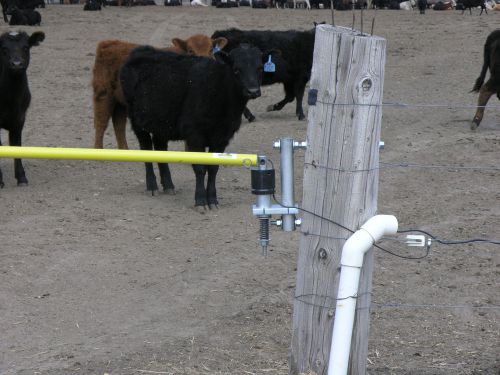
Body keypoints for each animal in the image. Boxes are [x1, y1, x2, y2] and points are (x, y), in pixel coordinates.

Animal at [0, 30, 44, 188]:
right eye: (4, 49)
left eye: (26, 47)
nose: (17, 64)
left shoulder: (19, 119)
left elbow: (17, 145)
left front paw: (21, 177)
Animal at [118, 44, 266, 209]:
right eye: (236, 70)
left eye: (260, 68)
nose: (253, 91)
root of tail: (141, 50)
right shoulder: (195, 136)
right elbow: (200, 168)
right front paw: (200, 200)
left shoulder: (222, 137)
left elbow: (213, 169)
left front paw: (212, 200)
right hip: (137, 121)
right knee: (146, 148)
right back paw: (152, 186)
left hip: (161, 123)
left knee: (160, 147)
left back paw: (168, 185)